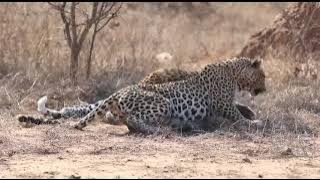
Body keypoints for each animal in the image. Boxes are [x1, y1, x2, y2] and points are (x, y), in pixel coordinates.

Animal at [22, 57, 266, 134]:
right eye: (263, 76)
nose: (264, 90)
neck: (233, 72)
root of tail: (119, 92)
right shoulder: (223, 104)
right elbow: (238, 116)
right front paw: (255, 122)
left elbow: (241, 109)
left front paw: (252, 114)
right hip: (163, 102)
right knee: (131, 120)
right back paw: (163, 129)